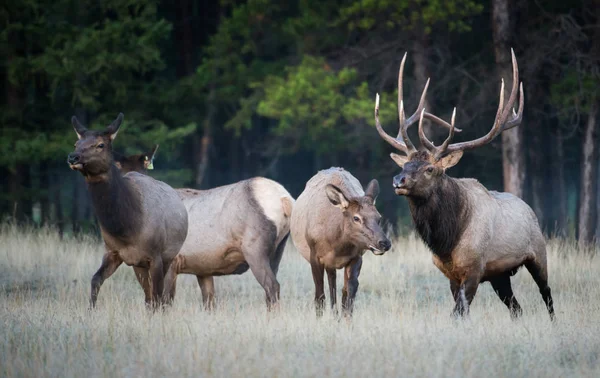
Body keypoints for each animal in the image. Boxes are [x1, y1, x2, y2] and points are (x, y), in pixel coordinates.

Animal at [66, 114, 189, 310]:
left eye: (100, 144)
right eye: (76, 143)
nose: (73, 157)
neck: (128, 228)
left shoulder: (156, 256)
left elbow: (158, 296)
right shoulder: (113, 252)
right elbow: (95, 280)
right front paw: (90, 310)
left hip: (169, 256)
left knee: (162, 296)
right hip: (139, 265)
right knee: (148, 296)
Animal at [113, 148, 294, 310]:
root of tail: (285, 199)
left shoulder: (168, 261)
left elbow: (162, 301)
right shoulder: (203, 269)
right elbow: (208, 302)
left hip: (254, 248)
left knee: (272, 286)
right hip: (278, 249)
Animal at [290, 168, 392, 316]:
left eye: (378, 217)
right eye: (356, 218)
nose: (384, 243)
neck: (336, 245)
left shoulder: (356, 256)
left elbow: (350, 289)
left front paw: (347, 317)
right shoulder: (315, 256)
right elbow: (320, 294)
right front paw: (320, 317)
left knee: (339, 287)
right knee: (330, 286)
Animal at [376, 51, 552, 322]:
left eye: (430, 169)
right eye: (405, 164)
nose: (398, 181)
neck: (446, 241)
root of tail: (529, 209)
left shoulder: (474, 268)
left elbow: (458, 312)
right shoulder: (452, 275)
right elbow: (461, 312)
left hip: (538, 253)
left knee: (547, 293)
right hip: (500, 275)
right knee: (516, 307)